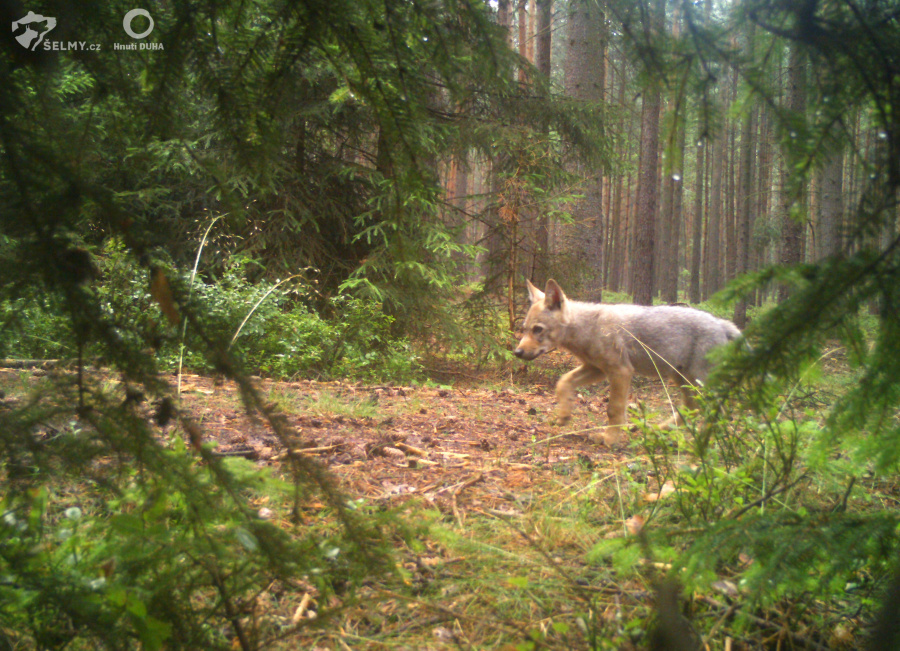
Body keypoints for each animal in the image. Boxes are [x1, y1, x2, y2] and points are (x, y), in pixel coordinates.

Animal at [512, 278, 740, 446]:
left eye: (538, 330)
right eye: (524, 329)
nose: (517, 352)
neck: (587, 328)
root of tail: (722, 323)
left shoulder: (620, 371)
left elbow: (613, 410)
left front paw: (609, 440)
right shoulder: (596, 369)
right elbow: (563, 382)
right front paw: (564, 414)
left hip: (699, 383)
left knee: (716, 411)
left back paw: (703, 443)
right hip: (682, 379)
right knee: (692, 408)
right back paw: (660, 432)